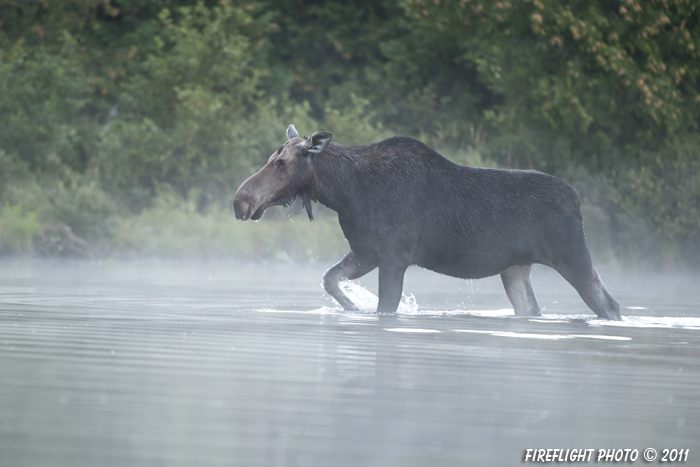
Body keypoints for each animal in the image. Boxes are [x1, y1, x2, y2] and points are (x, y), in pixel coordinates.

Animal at [235, 124, 624, 322]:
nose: (241, 200)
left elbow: (384, 306)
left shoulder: (394, 257)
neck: (343, 192)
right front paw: (353, 307)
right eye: (272, 157)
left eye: (281, 162)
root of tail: (577, 199)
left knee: (609, 304)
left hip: (572, 254)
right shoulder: (366, 251)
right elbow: (330, 279)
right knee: (531, 309)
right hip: (515, 268)